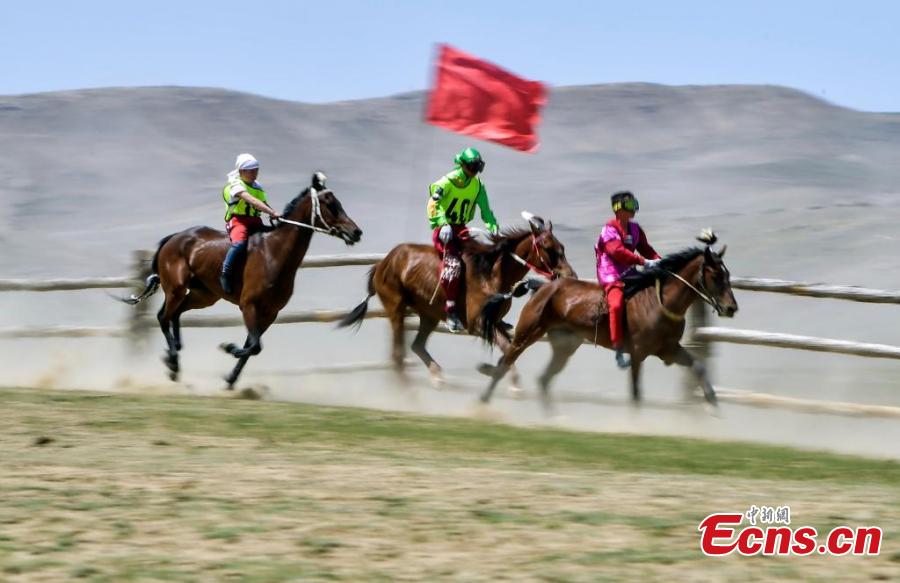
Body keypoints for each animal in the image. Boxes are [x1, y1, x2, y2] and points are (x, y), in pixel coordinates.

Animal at [122, 176, 362, 390]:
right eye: (331, 205)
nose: (356, 232)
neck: (274, 253)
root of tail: (174, 237)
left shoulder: (270, 313)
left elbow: (251, 347)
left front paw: (230, 379)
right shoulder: (249, 306)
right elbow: (254, 346)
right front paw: (228, 348)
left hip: (204, 296)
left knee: (176, 313)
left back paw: (175, 352)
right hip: (176, 289)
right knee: (163, 316)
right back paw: (173, 362)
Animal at [338, 214, 576, 388]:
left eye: (563, 247)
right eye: (548, 248)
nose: (570, 275)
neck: (492, 274)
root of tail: (382, 263)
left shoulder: (493, 322)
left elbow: (509, 348)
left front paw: (493, 371)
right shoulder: (478, 324)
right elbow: (507, 348)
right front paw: (509, 381)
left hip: (429, 315)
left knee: (416, 345)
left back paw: (437, 376)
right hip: (396, 308)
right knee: (398, 354)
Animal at [482, 234, 736, 416]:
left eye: (727, 274)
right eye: (716, 276)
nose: (731, 308)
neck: (660, 301)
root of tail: (540, 286)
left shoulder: (669, 349)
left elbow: (699, 367)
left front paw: (714, 406)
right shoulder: (638, 353)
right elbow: (636, 393)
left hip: (565, 346)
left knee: (543, 378)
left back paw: (551, 416)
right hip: (526, 335)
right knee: (504, 364)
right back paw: (482, 403)